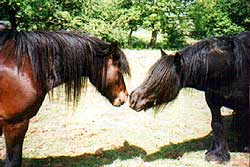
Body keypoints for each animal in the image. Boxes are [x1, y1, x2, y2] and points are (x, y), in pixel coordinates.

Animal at [130, 32, 249, 164]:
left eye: (160, 80)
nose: (133, 98)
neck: (230, 69)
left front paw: (243, 147)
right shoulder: (213, 104)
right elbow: (217, 125)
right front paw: (217, 154)